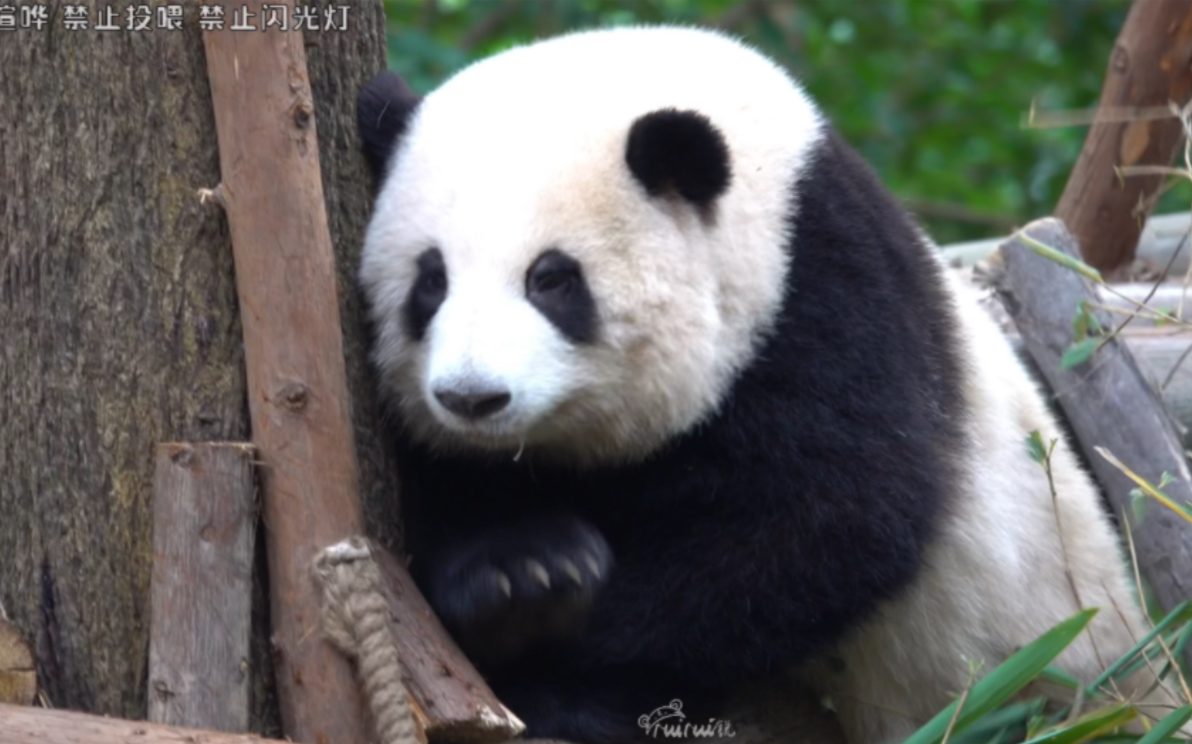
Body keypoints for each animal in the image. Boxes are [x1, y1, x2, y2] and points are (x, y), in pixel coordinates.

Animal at [352, 24, 1172, 744]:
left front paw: (557, 636)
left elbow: (828, 518)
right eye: (430, 282)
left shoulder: (824, 296)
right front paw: (520, 572)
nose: (471, 396)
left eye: (551, 279)